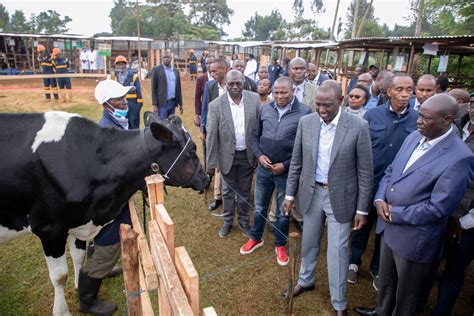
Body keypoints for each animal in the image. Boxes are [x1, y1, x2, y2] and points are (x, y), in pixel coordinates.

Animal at [0, 110, 209, 314]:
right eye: (192, 150)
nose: (206, 178)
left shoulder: (77, 221)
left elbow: (79, 257)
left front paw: (81, 291)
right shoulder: (50, 229)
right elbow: (59, 276)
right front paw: (62, 311)